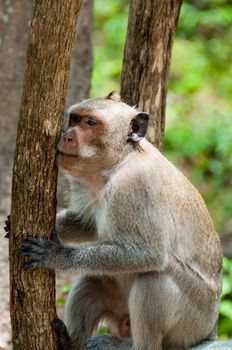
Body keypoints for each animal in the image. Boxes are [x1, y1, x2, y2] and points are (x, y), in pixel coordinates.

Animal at [20, 92, 223, 350]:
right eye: (75, 119)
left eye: (91, 123)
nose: (67, 136)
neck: (117, 164)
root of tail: (211, 329)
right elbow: (89, 224)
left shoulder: (134, 186)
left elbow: (150, 253)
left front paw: (57, 255)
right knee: (93, 279)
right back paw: (72, 342)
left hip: (193, 323)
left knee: (156, 275)